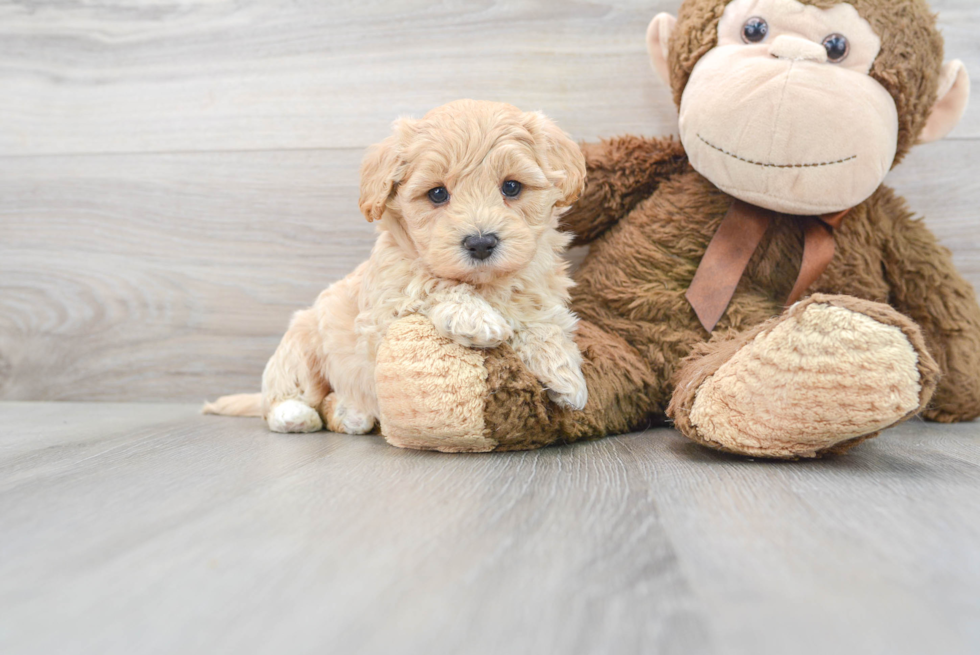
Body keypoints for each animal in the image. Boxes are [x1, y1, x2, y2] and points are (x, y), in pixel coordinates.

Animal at [206, 101, 584, 436]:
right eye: (437, 194)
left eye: (511, 186)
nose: (480, 243)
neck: (485, 284)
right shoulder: (383, 310)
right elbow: (428, 281)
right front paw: (475, 317)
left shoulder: (540, 293)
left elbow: (543, 323)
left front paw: (565, 374)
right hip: (302, 344)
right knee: (287, 396)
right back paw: (296, 414)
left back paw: (352, 414)